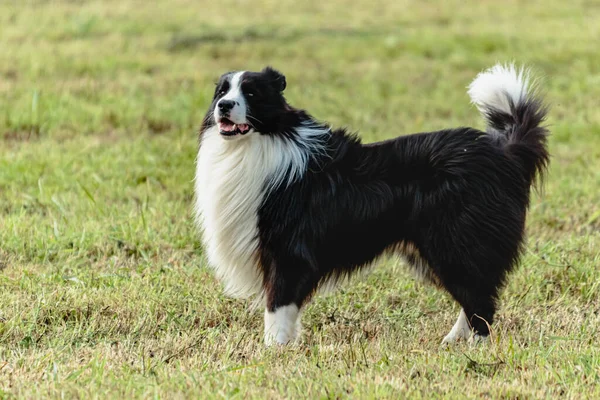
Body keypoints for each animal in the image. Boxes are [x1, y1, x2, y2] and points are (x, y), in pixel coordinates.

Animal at [195, 64, 552, 346]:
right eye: (221, 91)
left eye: (251, 93)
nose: (224, 106)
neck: (257, 143)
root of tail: (503, 152)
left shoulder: (288, 253)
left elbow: (277, 308)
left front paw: (274, 351)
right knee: (474, 295)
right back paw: (452, 340)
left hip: (454, 243)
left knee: (481, 300)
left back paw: (475, 347)